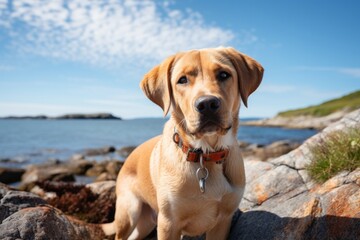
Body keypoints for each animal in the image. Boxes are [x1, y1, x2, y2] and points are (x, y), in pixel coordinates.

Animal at [102, 46, 264, 239]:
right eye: (182, 80)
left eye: (224, 74)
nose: (207, 104)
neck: (205, 155)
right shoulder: (168, 223)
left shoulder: (223, 221)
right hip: (129, 211)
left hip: (146, 221)